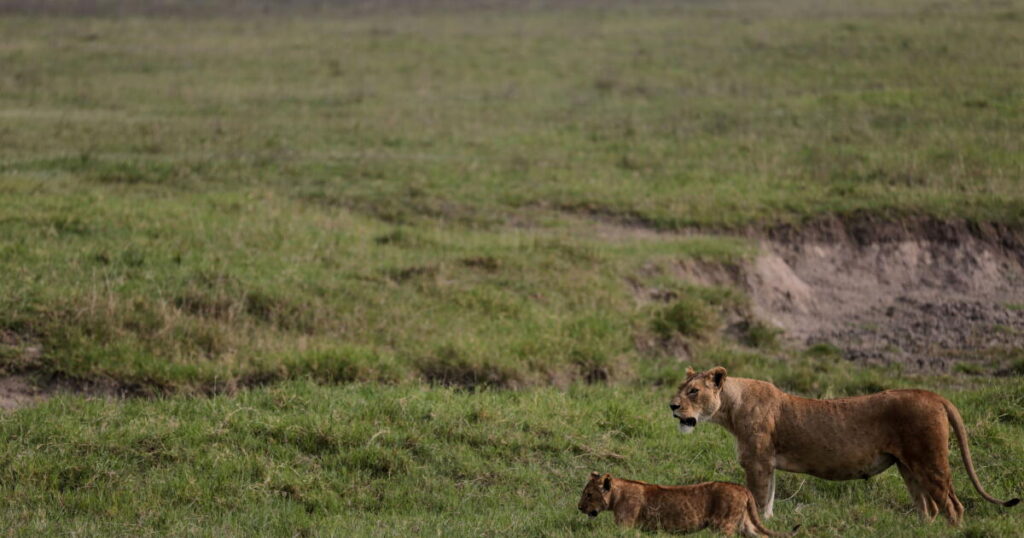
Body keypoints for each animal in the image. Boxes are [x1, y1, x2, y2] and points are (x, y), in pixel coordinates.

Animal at [577, 471, 800, 536]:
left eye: (588, 494)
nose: (579, 508)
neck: (617, 494)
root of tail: (742, 487)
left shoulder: (625, 525)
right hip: (745, 524)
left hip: (724, 525)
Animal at [669, 366, 1020, 525]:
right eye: (680, 388)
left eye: (693, 391)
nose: (671, 406)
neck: (731, 407)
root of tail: (934, 395)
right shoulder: (767, 464)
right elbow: (768, 499)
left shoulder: (756, 461)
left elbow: (757, 497)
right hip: (908, 467)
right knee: (928, 507)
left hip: (930, 460)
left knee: (952, 505)